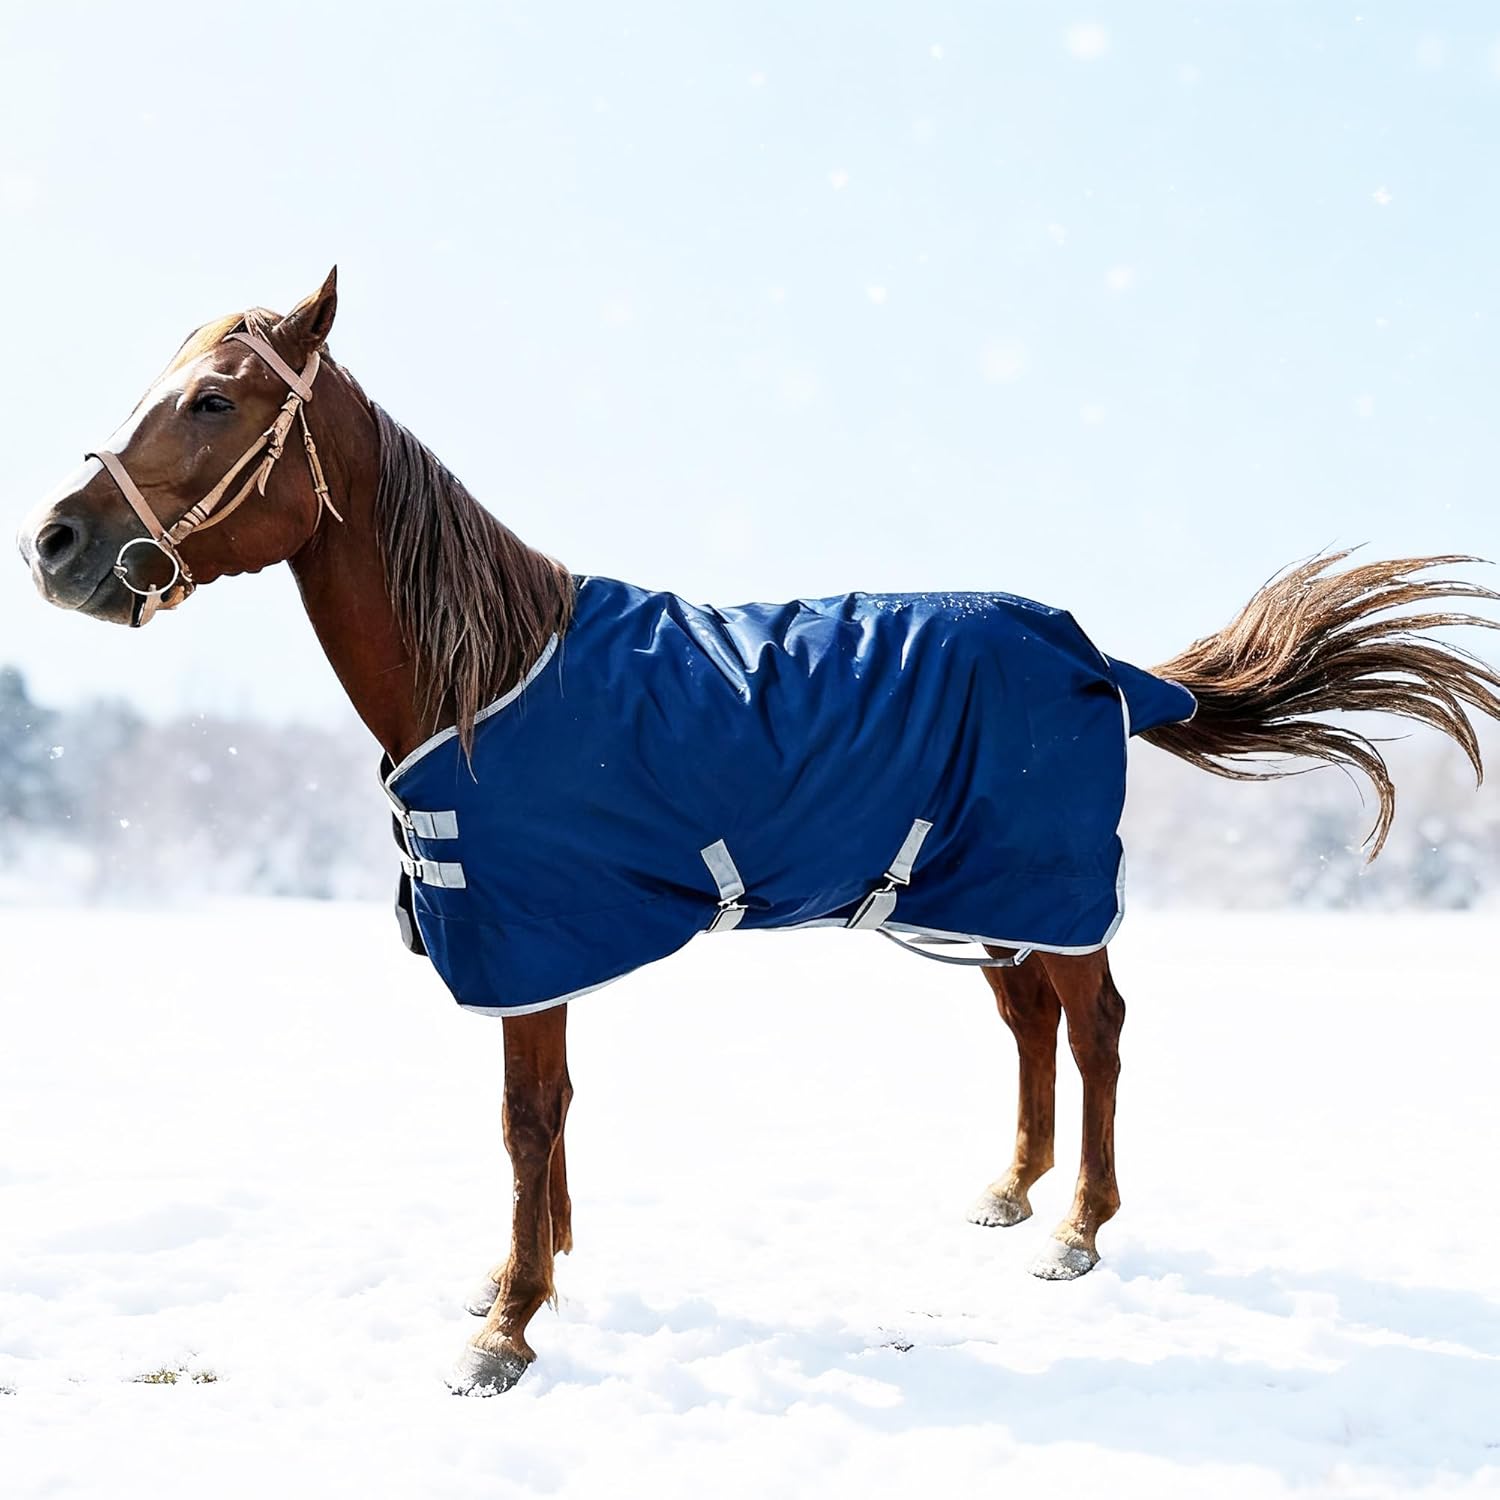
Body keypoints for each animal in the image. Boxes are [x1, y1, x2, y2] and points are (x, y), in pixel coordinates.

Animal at [18, 271, 1500, 1396]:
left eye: (213, 399)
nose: (56, 544)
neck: (486, 680)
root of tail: (1095, 656)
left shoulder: (531, 946)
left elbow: (524, 1122)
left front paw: (506, 1327)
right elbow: (551, 1123)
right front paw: (529, 1276)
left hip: (1052, 890)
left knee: (1098, 1032)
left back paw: (1078, 1229)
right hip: (971, 893)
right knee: (1029, 1027)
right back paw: (1011, 1192)